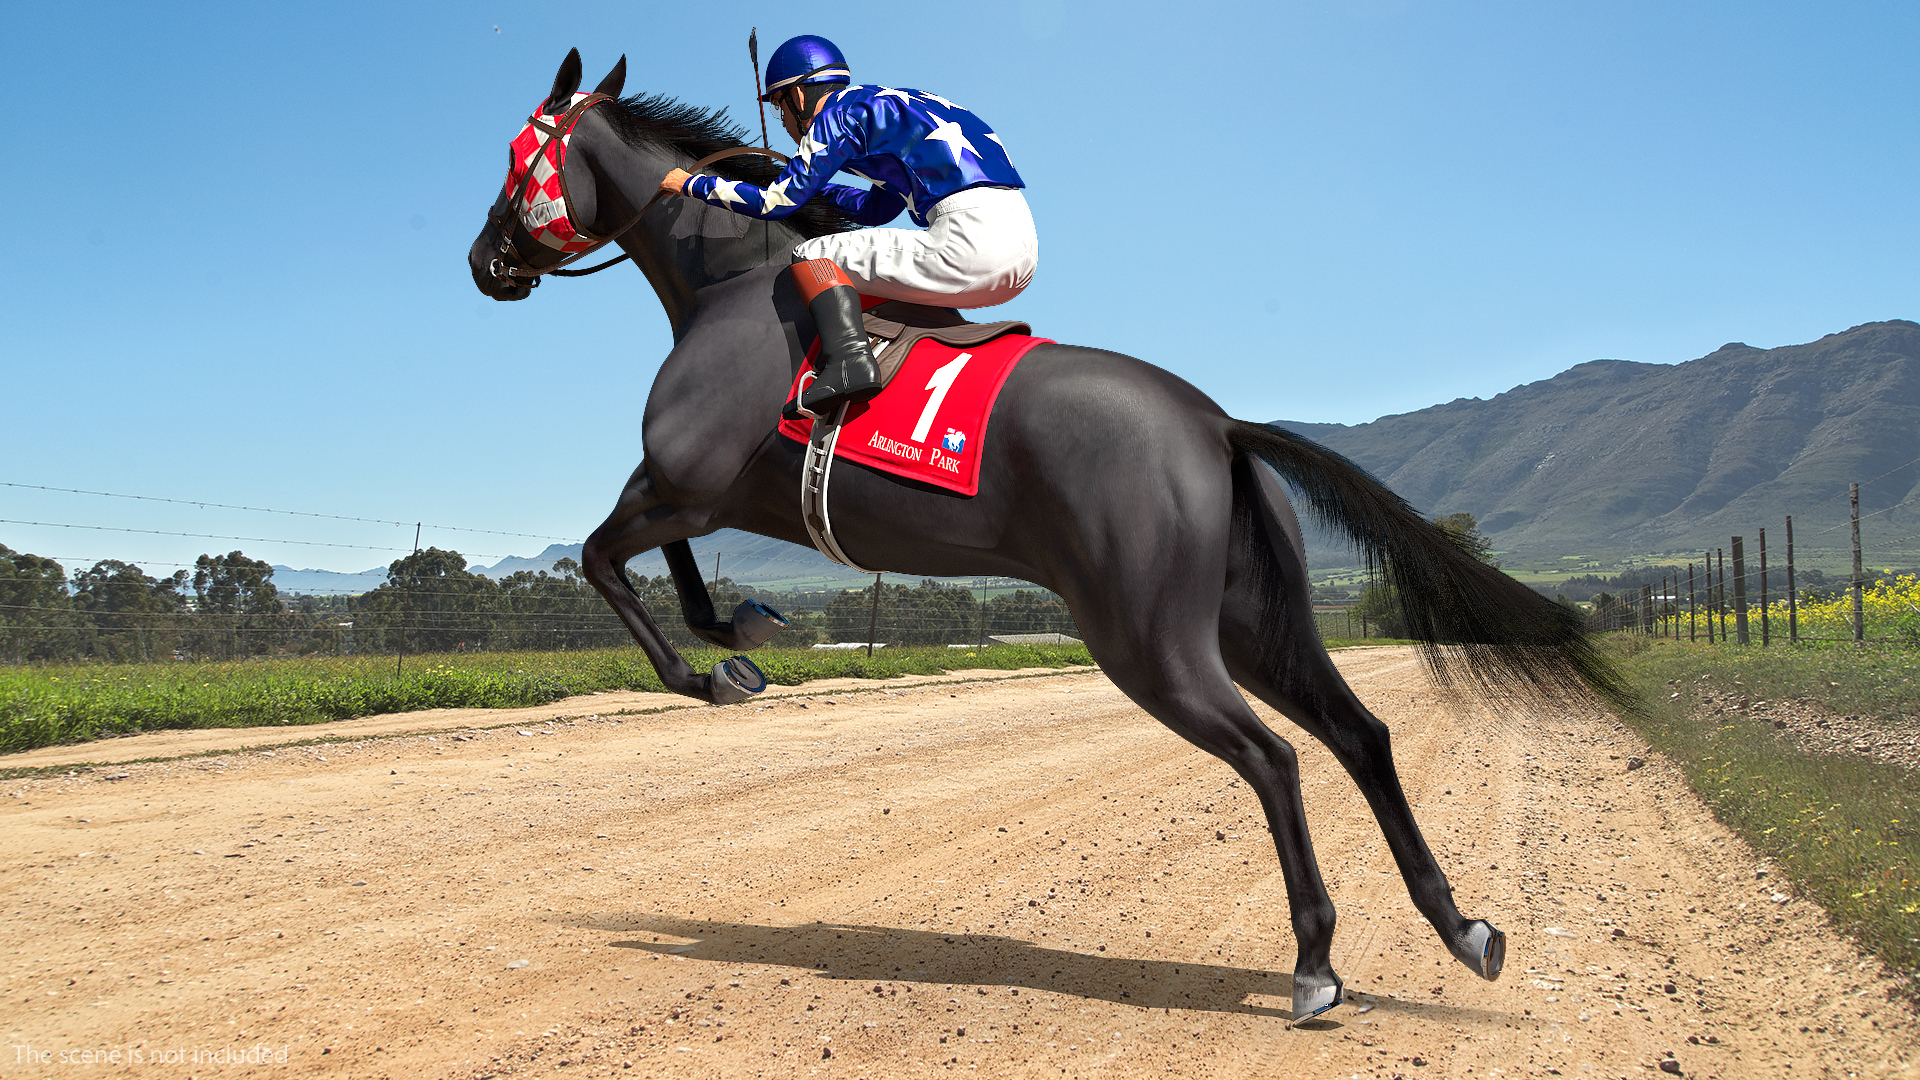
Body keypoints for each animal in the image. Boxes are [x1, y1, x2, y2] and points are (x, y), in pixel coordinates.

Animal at [467, 49, 1632, 1023]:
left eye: (521, 153)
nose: (484, 260)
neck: (732, 286)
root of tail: (1214, 423)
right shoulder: (699, 494)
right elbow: (669, 570)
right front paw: (743, 634)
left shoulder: (689, 480)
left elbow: (602, 559)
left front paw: (711, 673)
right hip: (1253, 624)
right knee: (1362, 736)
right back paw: (1462, 926)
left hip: (1145, 638)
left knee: (1273, 756)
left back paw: (1314, 964)